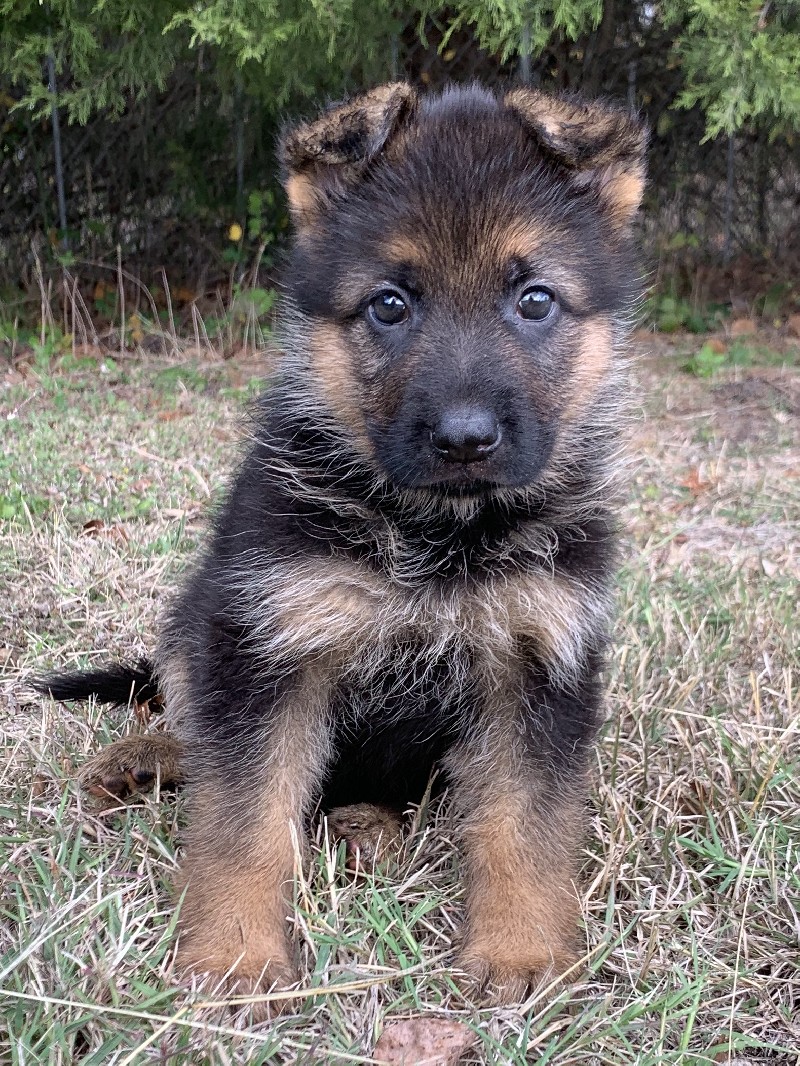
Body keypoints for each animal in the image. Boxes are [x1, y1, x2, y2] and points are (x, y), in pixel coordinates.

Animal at [39, 83, 652, 1006]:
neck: (439, 534)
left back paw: (366, 826)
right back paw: (145, 757)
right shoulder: (270, 643)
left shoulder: (540, 663)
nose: (465, 439)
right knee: (185, 710)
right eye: (389, 304)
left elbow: (525, 825)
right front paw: (236, 955)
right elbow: (245, 816)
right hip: (201, 613)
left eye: (536, 300)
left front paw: (519, 953)